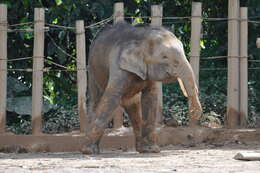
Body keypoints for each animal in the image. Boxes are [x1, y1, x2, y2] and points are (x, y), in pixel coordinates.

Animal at [82, 21, 202, 154]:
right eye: (164, 57)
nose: (194, 113)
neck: (143, 37)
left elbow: (150, 98)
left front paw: (152, 150)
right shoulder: (119, 66)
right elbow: (112, 98)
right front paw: (88, 152)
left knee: (133, 105)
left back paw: (142, 149)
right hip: (93, 69)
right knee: (97, 99)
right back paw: (89, 150)